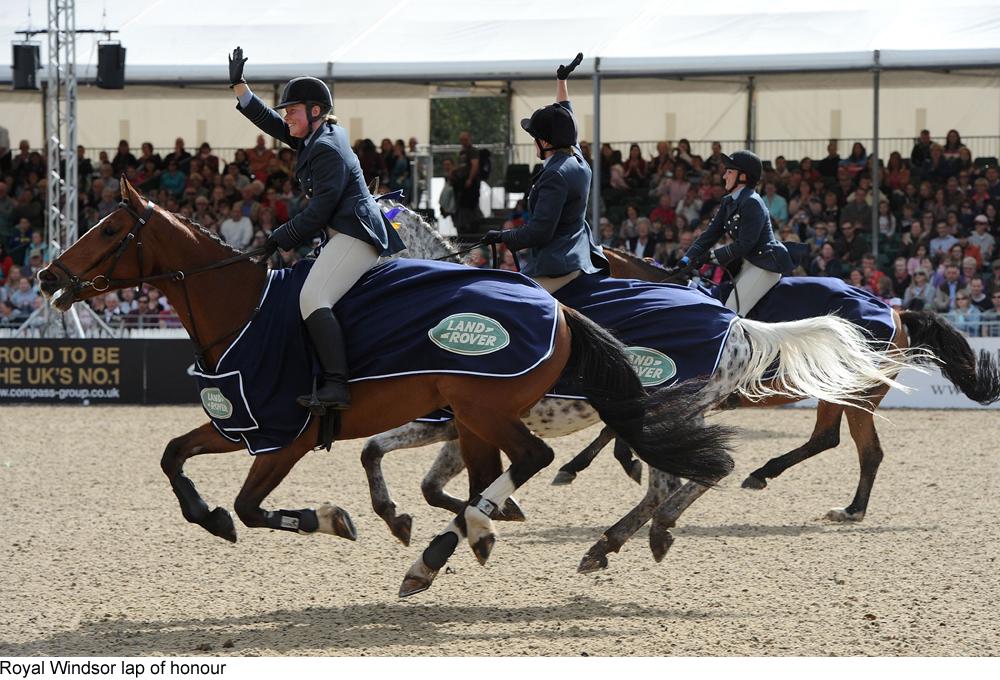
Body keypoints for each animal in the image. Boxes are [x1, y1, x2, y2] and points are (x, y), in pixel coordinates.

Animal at [37, 175, 736, 596]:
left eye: (108, 230)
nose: (46, 277)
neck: (245, 311)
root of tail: (558, 308)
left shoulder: (285, 436)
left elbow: (251, 504)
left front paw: (329, 518)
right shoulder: (240, 422)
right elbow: (174, 458)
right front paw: (210, 517)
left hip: (486, 409)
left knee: (543, 460)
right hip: (479, 417)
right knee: (507, 478)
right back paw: (474, 541)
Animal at [358, 205, 920, 572]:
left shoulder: (456, 422)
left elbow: (413, 473)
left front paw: (488, 516)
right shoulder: (459, 427)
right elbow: (423, 481)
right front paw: (492, 514)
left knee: (706, 473)